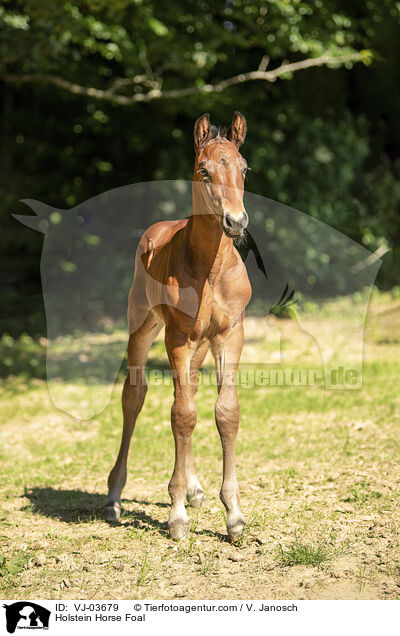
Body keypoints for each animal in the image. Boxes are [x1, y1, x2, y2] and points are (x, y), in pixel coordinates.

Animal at [104, 112, 252, 540]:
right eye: (203, 170)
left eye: (244, 169)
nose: (236, 222)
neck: (210, 270)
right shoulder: (178, 337)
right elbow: (182, 415)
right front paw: (177, 515)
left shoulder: (229, 334)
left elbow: (224, 412)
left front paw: (233, 514)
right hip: (144, 327)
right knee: (135, 397)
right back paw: (114, 498)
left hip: (200, 345)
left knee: (190, 393)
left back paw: (194, 487)